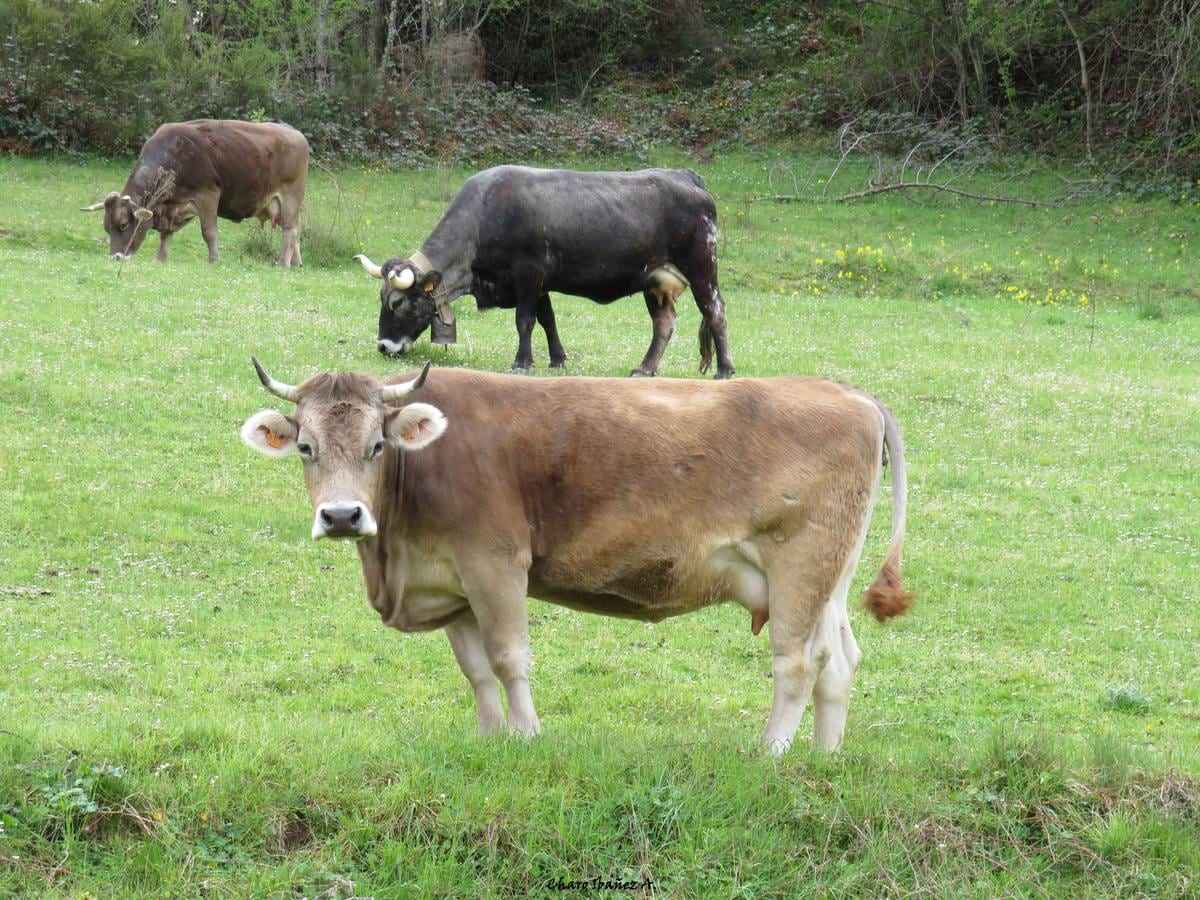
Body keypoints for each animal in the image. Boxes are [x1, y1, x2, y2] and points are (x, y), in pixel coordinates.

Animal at [78, 118, 307, 264]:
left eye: (124, 225)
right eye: (107, 227)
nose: (115, 257)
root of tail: (292, 130)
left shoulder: (208, 195)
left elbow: (209, 232)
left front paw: (214, 260)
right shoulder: (172, 206)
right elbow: (166, 234)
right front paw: (160, 258)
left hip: (290, 196)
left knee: (290, 231)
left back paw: (282, 264)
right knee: (297, 230)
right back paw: (296, 262)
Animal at [238, 362, 912, 748]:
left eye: (377, 445)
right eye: (305, 446)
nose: (342, 516)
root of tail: (851, 394)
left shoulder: (496, 565)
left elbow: (509, 659)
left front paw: (527, 738)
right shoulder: (453, 585)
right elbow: (476, 670)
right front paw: (489, 741)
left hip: (800, 565)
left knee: (798, 661)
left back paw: (770, 753)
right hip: (826, 578)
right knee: (839, 660)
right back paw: (823, 757)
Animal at [350, 164, 734, 376]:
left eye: (397, 303)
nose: (383, 346)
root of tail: (685, 176)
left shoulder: (528, 273)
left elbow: (525, 320)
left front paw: (522, 361)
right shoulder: (541, 284)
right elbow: (548, 319)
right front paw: (557, 359)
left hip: (702, 267)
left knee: (714, 311)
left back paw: (725, 369)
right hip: (655, 281)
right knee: (664, 323)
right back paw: (645, 368)